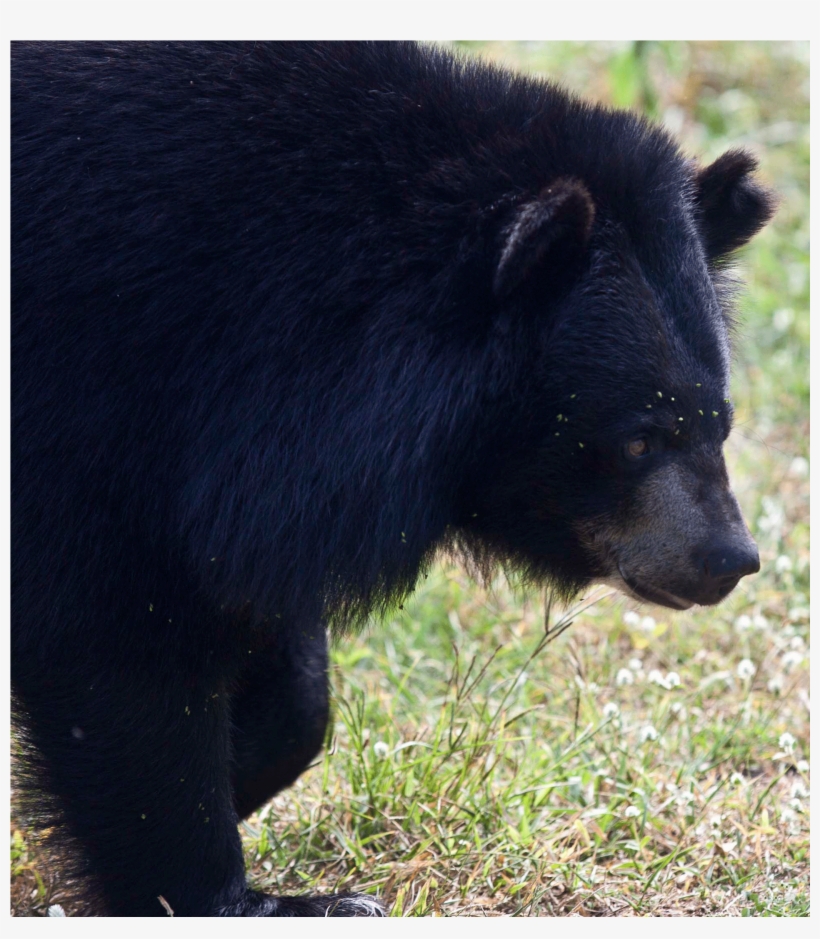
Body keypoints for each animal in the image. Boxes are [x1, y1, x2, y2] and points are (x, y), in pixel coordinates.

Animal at [11, 41, 774, 916]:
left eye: (720, 422)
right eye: (637, 439)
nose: (729, 559)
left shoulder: (243, 463)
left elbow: (261, 629)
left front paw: (243, 766)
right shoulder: (92, 396)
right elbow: (116, 644)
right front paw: (266, 898)